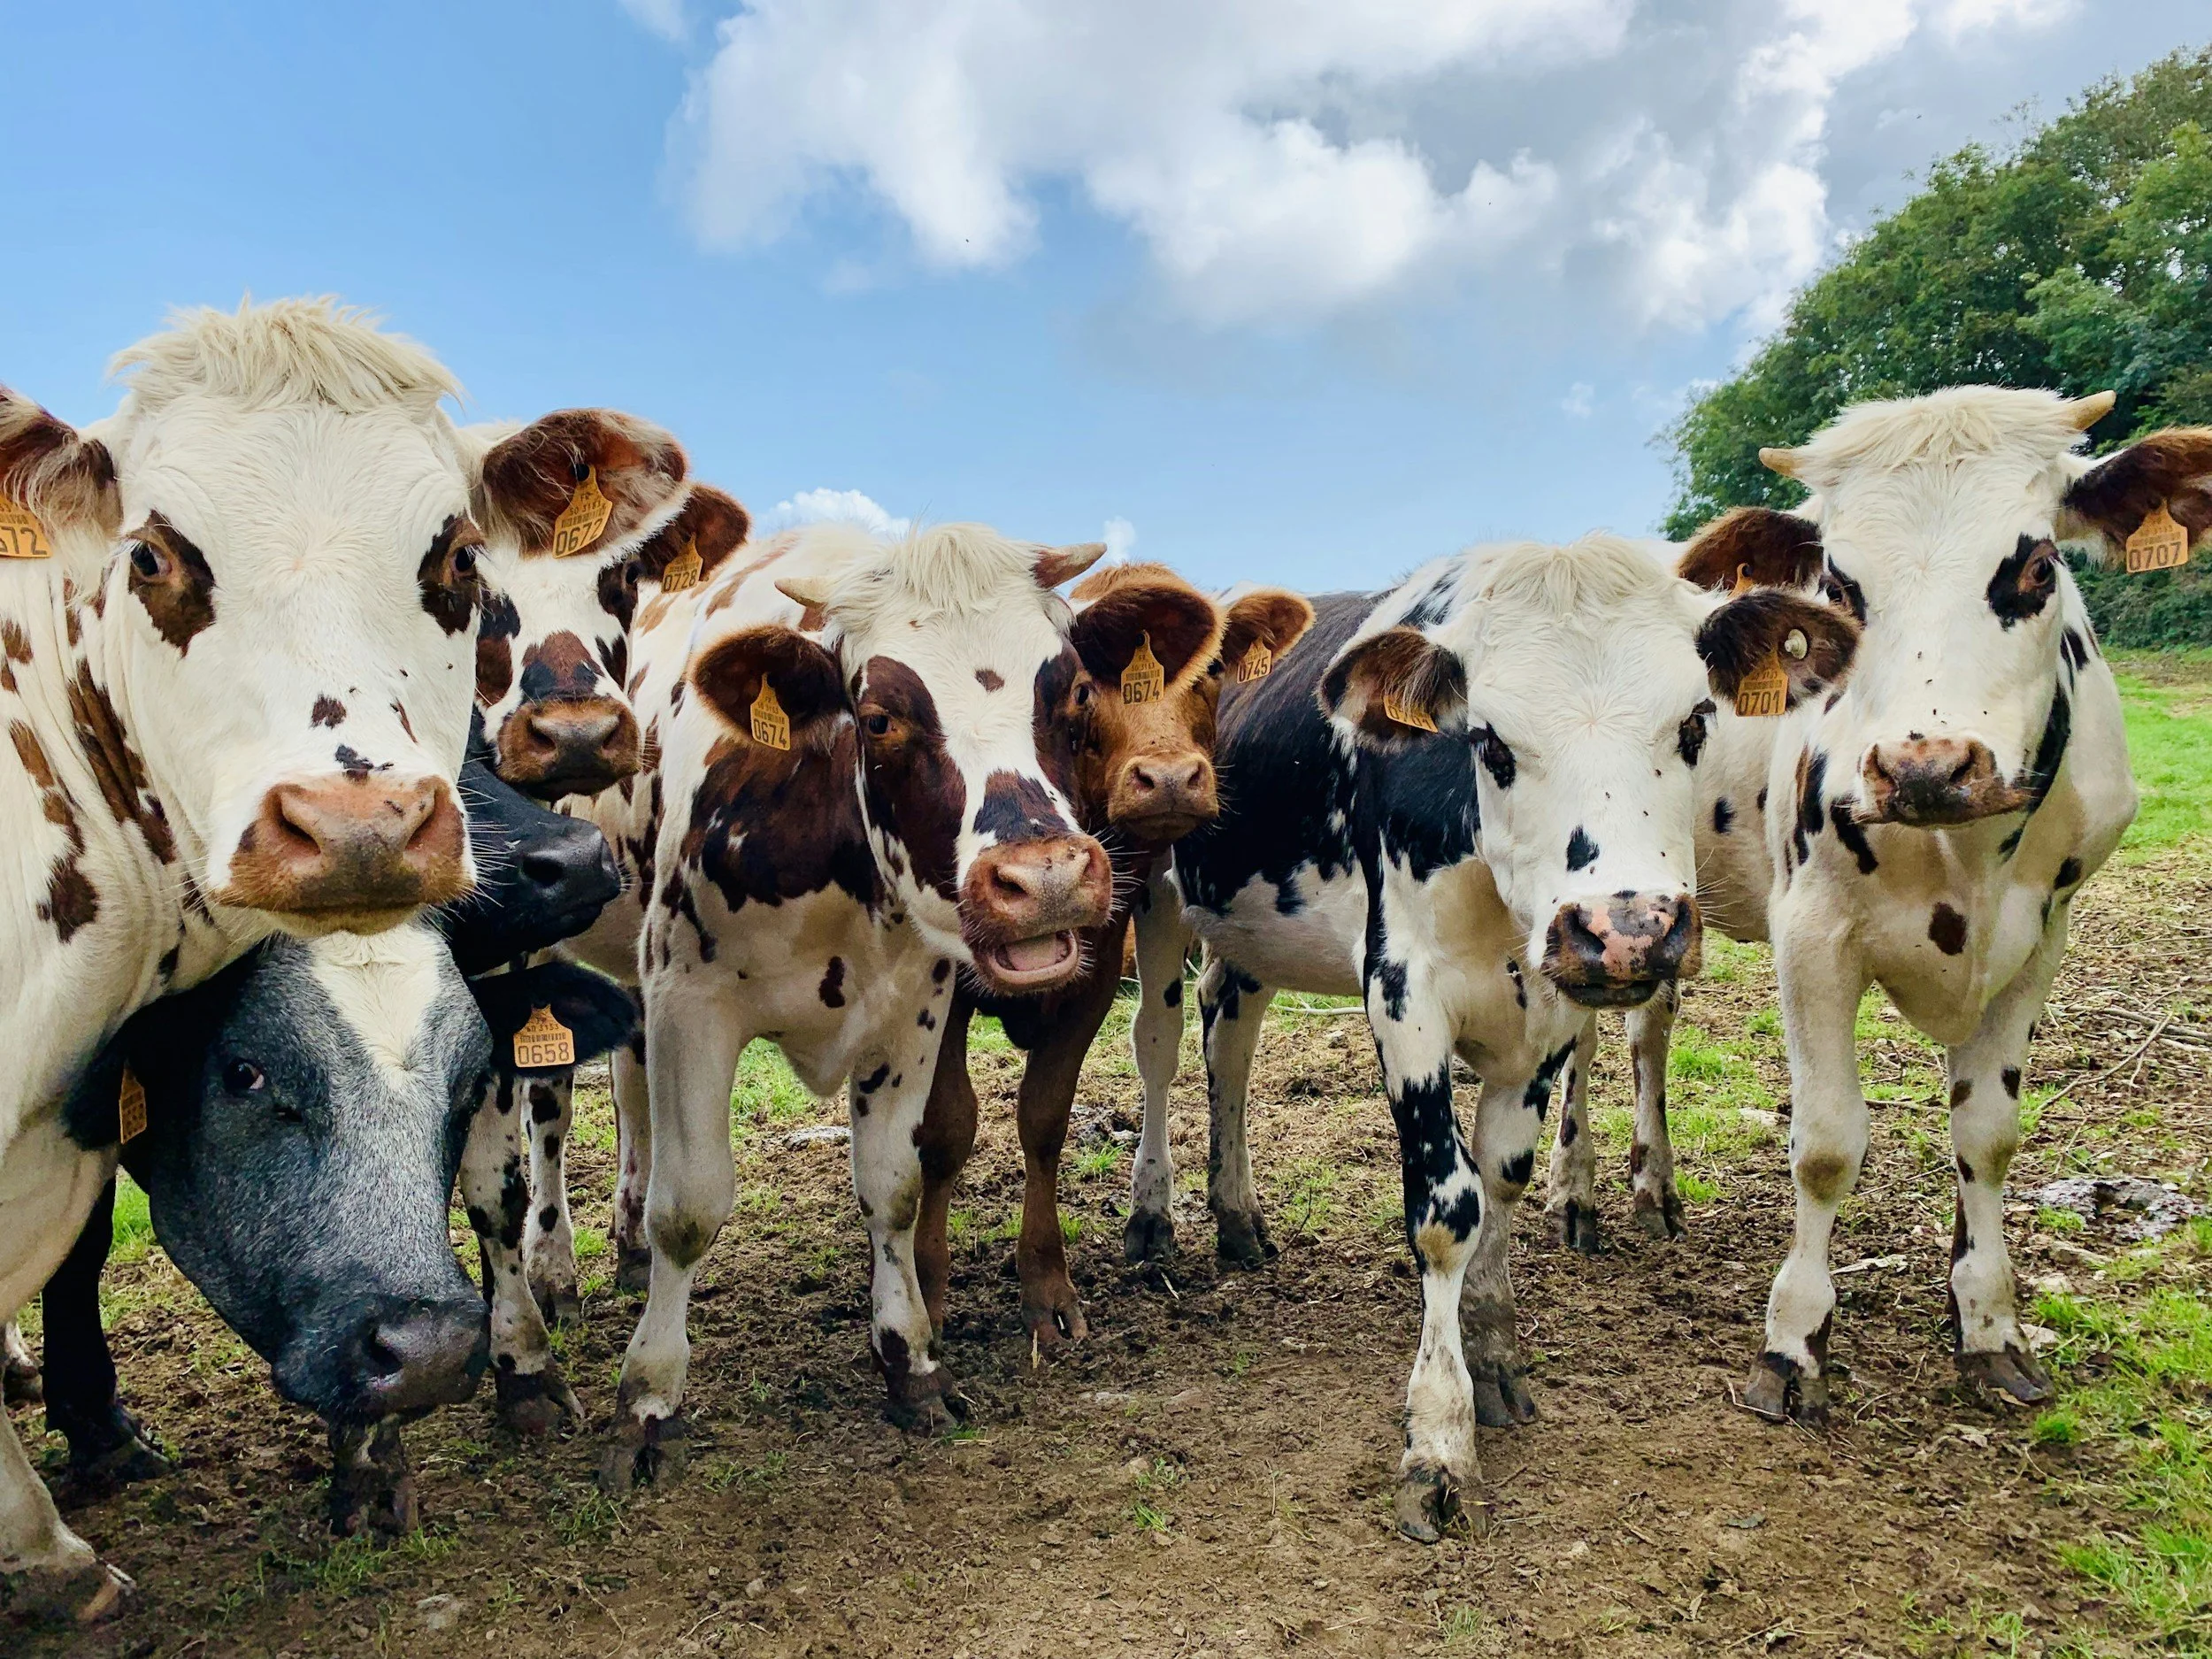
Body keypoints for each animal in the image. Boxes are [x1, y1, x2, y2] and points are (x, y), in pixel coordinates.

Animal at [566, 516, 1117, 1488]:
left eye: (1075, 691)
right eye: (881, 716)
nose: (1046, 878)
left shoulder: (915, 1008)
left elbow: (893, 1187)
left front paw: (911, 1362)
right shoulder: (688, 1002)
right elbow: (690, 1208)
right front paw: (647, 1402)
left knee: (629, 1093)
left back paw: (625, 1241)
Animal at [912, 565, 1314, 1349]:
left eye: (1212, 671)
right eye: (1082, 686)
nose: (1170, 778)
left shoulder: (1098, 971)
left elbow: (1045, 1116)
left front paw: (1046, 1286)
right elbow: (947, 1125)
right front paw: (928, 1292)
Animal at [1126, 536, 1857, 1538]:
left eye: (1694, 726)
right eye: (1491, 741)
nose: (1626, 928)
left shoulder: (1548, 1015)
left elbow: (1502, 1179)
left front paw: (1494, 1351)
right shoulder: (1401, 993)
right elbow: (1447, 1209)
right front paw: (1438, 1435)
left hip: (1248, 932)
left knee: (1227, 1035)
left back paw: (1236, 1215)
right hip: (1153, 891)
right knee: (1158, 1042)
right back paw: (1152, 1215)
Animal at [1547, 387, 2159, 1426]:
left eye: (2036, 565)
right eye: (1836, 583)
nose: (1925, 765)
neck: (1963, 852)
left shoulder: (2041, 939)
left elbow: (1987, 1136)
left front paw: (1985, 1324)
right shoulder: (1811, 935)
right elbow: (1826, 1145)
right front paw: (1793, 1343)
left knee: (1646, 1032)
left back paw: (1653, 1185)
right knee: (1579, 1040)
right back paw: (1575, 1193)